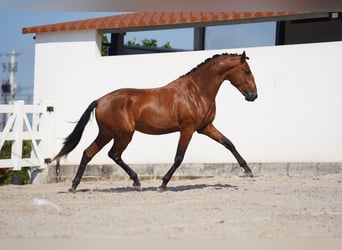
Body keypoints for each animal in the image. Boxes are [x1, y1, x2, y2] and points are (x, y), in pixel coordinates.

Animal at [53, 50, 256, 191]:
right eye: (246, 71)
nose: (253, 96)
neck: (197, 91)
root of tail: (99, 100)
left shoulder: (205, 127)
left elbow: (228, 143)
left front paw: (248, 170)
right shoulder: (188, 129)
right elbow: (179, 157)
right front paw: (163, 184)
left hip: (107, 134)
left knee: (88, 153)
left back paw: (74, 185)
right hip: (123, 135)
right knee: (114, 154)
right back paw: (136, 181)